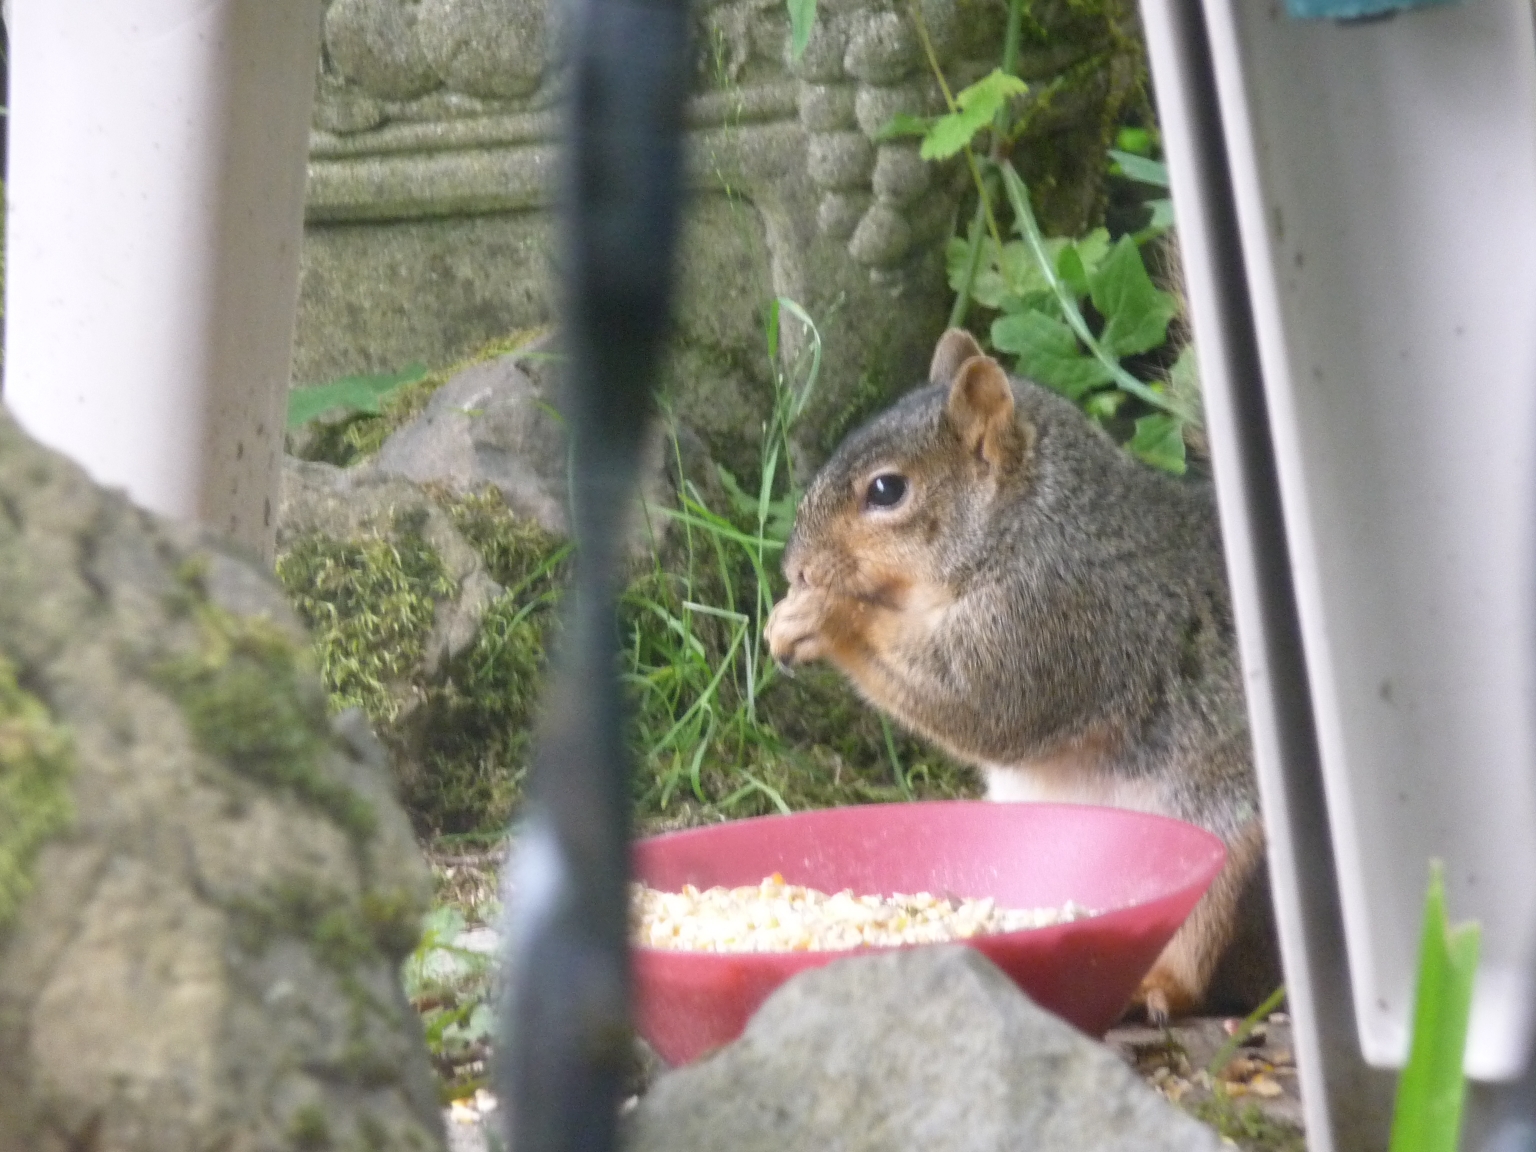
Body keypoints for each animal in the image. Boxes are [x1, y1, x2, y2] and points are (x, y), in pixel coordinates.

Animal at [764, 328, 1277, 1021]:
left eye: (886, 490)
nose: (795, 569)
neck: (1033, 520)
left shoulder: (1060, 615)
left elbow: (984, 702)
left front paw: (825, 614)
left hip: (1223, 829)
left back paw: (1155, 985)